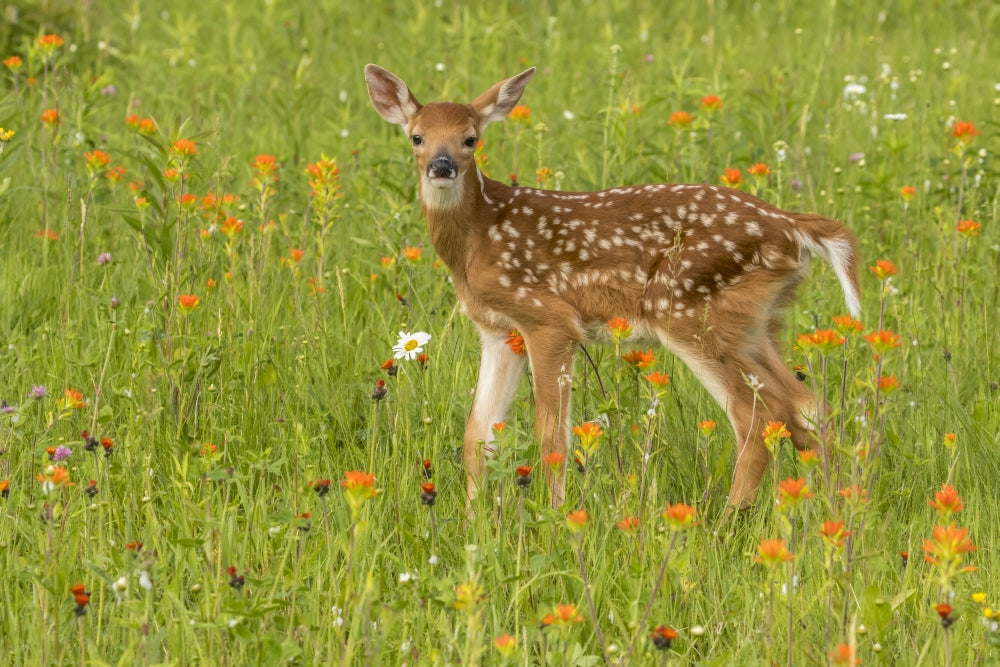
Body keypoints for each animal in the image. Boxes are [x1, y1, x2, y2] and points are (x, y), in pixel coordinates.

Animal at [364, 64, 861, 513]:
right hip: (754, 322)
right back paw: (830, 505)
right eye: (417, 137)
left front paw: (555, 517)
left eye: (471, 138)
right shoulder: (498, 329)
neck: (478, 238)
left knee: (757, 417)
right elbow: (478, 433)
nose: (442, 166)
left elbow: (552, 435)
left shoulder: (548, 319)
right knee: (806, 407)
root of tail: (791, 227)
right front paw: (474, 523)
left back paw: (725, 521)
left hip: (684, 305)